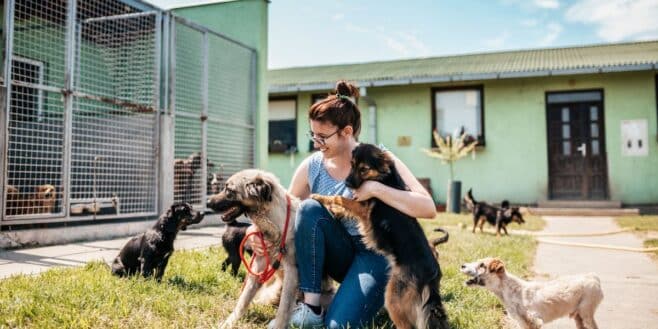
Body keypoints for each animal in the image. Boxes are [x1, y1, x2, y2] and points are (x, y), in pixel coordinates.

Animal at [206, 169, 298, 328]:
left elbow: (284, 307)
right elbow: (243, 299)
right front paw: (230, 322)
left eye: (229, 190)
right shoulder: (259, 265)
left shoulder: (292, 272)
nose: (207, 202)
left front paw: (279, 324)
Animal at [310, 143, 448, 328]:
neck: (383, 177)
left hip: (392, 297)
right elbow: (343, 203)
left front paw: (321, 198)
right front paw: (334, 210)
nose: (346, 182)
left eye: (364, 169)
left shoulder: (363, 207)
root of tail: (431, 275)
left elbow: (340, 198)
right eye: (351, 164)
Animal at [458, 256, 604, 328]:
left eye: (482, 265)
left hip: (586, 313)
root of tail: (593, 277)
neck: (509, 291)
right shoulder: (522, 323)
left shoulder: (534, 321)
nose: (462, 265)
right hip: (579, 317)